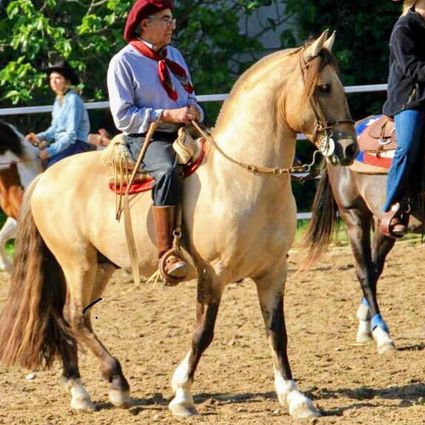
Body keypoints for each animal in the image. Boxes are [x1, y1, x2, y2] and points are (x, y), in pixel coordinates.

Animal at [0, 31, 358, 420]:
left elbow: (277, 332)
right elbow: (203, 333)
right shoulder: (213, 273)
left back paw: (81, 391)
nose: (349, 149)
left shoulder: (274, 272)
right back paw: (116, 383)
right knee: (73, 317)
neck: (242, 177)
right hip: (75, 263)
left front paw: (295, 397)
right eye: (323, 87)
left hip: (99, 266)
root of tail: (46, 177)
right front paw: (182, 395)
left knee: (71, 317)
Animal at [304, 114, 422, 352]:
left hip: (384, 226)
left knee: (375, 267)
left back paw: (367, 326)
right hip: (354, 217)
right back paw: (382, 335)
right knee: (365, 272)